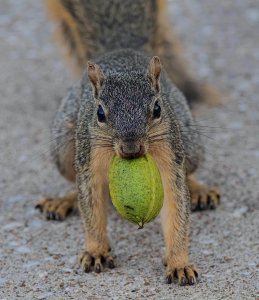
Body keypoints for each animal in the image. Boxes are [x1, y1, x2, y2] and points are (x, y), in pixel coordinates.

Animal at [35, 0, 221, 286]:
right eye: (100, 113)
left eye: (157, 108)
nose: (131, 148)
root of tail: (122, 50)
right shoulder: (89, 157)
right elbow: (91, 204)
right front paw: (96, 251)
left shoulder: (169, 153)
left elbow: (176, 204)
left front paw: (179, 263)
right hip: (65, 148)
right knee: (75, 183)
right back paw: (63, 201)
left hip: (188, 143)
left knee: (189, 172)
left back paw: (200, 191)